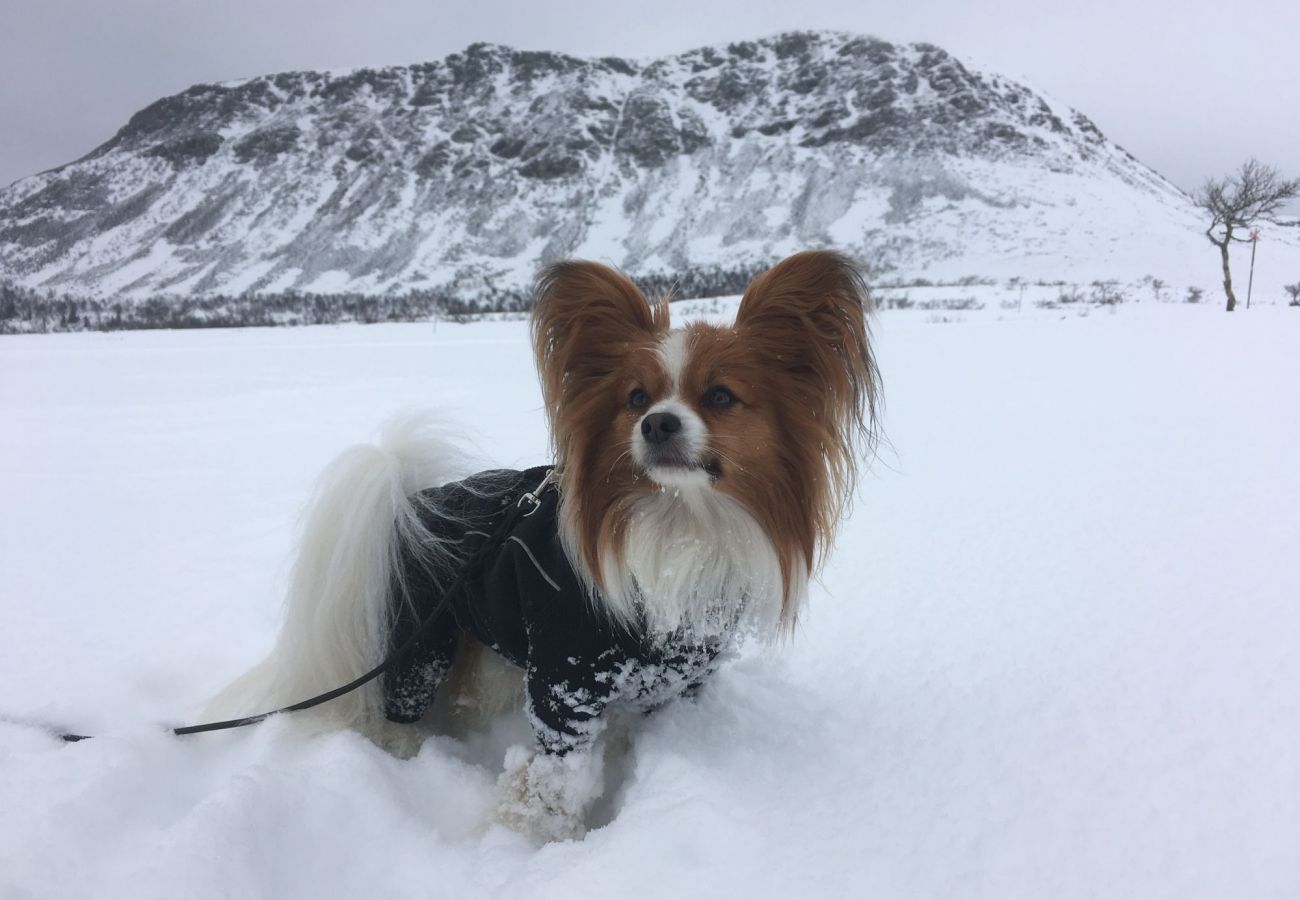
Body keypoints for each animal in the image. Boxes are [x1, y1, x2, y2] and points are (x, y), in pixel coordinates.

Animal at [208, 249, 878, 842]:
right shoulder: (565, 685)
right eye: (636, 398)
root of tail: (414, 500)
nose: (657, 423)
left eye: (720, 396)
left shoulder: (679, 683)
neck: (680, 523)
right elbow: (551, 788)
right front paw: (531, 848)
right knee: (399, 712)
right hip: (419, 638)